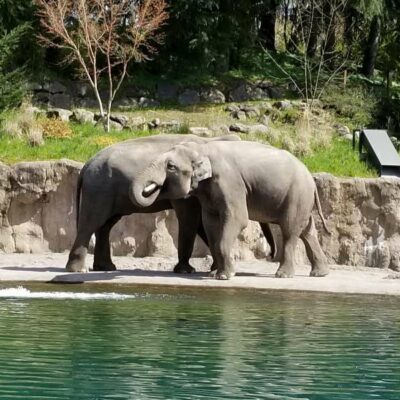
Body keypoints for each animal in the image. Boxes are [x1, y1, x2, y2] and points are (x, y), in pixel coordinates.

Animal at [66, 133, 278, 274]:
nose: (270, 255)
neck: (210, 140)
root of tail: (86, 165)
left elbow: (200, 223)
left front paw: (213, 268)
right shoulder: (187, 192)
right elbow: (190, 219)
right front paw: (187, 271)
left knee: (106, 224)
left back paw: (105, 268)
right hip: (98, 189)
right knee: (91, 222)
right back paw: (78, 270)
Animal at [130, 139, 330, 280]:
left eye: (170, 167)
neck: (203, 147)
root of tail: (311, 178)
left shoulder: (230, 182)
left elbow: (237, 219)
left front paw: (224, 276)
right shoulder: (209, 191)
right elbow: (210, 223)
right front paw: (215, 274)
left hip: (297, 195)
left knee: (290, 230)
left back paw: (283, 275)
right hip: (302, 199)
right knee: (307, 231)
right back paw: (320, 273)